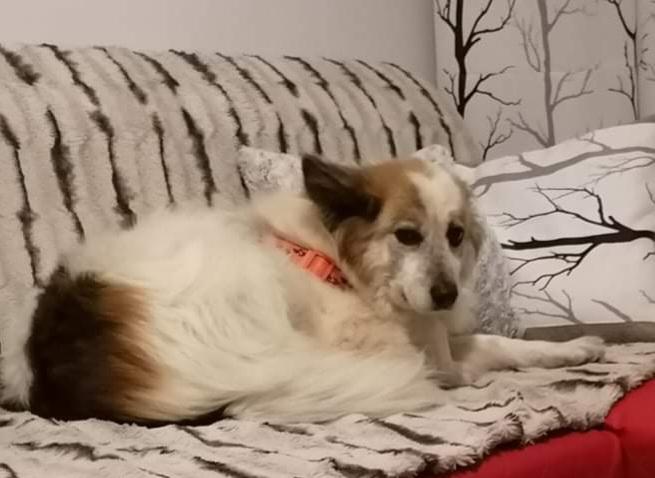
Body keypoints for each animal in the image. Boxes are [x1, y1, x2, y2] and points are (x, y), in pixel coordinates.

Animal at [0, 154, 605, 423]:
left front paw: (573, 348)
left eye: (455, 235)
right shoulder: (415, 347)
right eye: (407, 236)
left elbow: (504, 344)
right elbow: (479, 352)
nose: (446, 295)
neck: (342, 263)